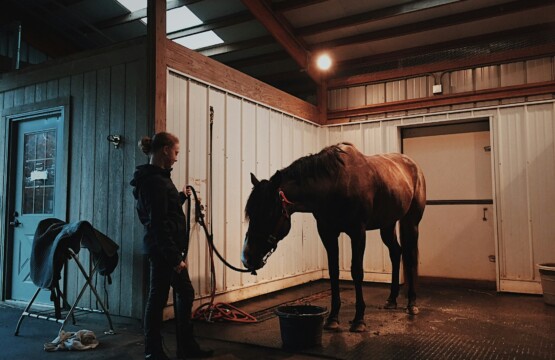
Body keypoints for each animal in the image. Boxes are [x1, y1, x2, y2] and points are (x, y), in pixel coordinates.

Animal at [241, 141, 428, 332]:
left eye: (269, 213)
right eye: (250, 213)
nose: (247, 258)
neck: (335, 184)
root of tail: (414, 167)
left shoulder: (357, 232)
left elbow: (357, 271)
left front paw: (359, 320)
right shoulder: (327, 233)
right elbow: (333, 271)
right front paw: (332, 318)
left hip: (411, 222)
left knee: (410, 257)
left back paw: (412, 304)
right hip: (387, 224)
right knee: (395, 253)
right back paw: (391, 299)